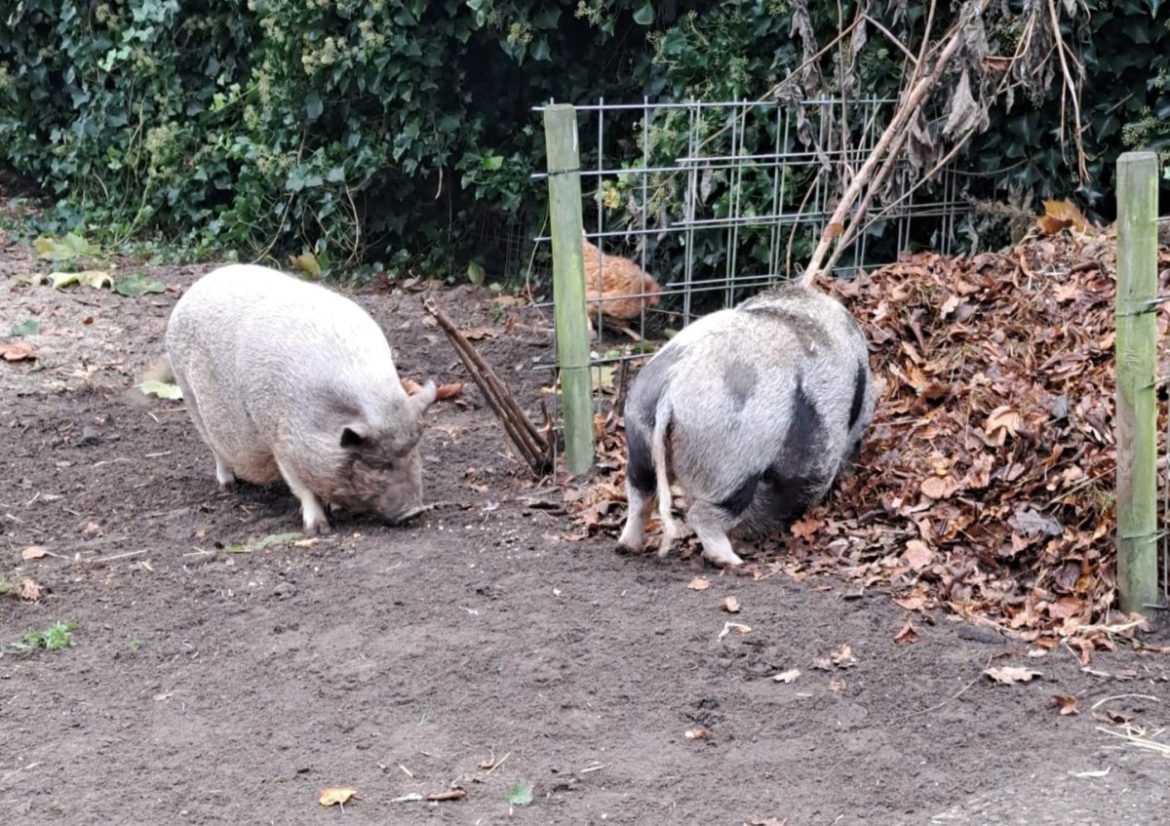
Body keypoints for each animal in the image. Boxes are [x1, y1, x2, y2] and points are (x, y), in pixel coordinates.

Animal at [167, 264, 437, 533]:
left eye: (414, 451)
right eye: (379, 463)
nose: (416, 511)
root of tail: (195, 288)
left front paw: (335, 509)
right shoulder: (280, 439)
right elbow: (302, 488)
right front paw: (318, 530)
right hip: (187, 392)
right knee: (215, 449)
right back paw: (228, 486)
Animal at [617, 283, 875, 566]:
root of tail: (671, 389)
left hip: (639, 428)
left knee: (639, 491)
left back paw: (626, 547)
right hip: (730, 459)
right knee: (702, 513)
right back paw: (732, 561)